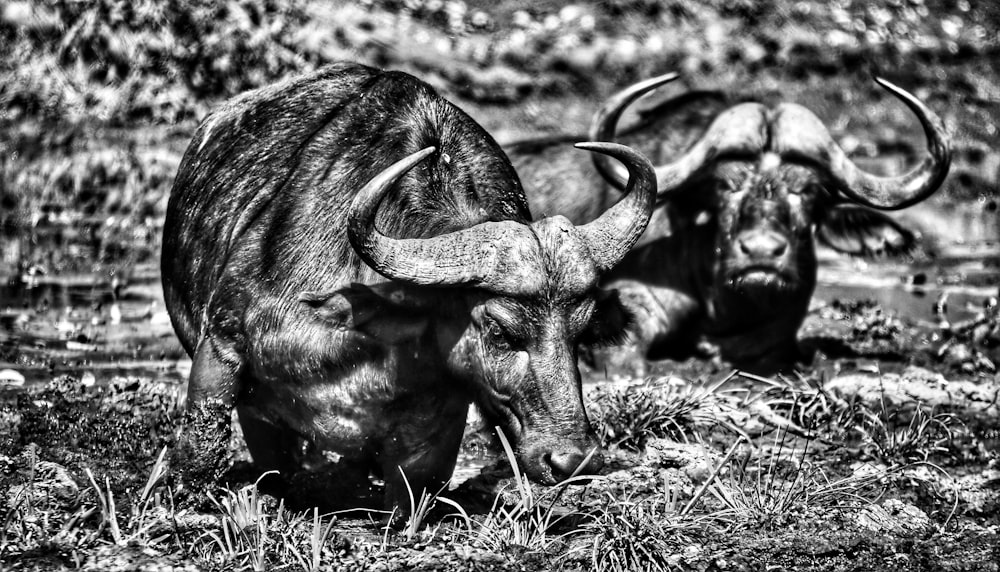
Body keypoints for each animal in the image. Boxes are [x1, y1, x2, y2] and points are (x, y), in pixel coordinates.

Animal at [161, 62, 660, 512]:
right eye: (500, 331)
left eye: (581, 332)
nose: (572, 461)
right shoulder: (223, 346)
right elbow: (205, 440)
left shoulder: (435, 429)